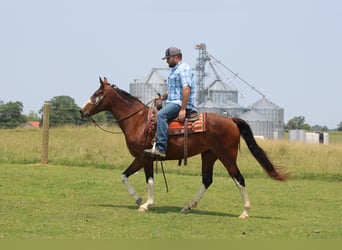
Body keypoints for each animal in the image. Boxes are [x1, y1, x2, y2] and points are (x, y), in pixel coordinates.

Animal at [79, 76, 286, 219]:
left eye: (97, 95)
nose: (82, 111)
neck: (138, 121)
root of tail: (231, 120)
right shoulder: (139, 158)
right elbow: (123, 176)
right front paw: (137, 199)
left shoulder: (146, 157)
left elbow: (149, 181)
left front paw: (146, 204)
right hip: (209, 155)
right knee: (207, 180)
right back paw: (188, 206)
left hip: (227, 156)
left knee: (239, 179)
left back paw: (245, 212)